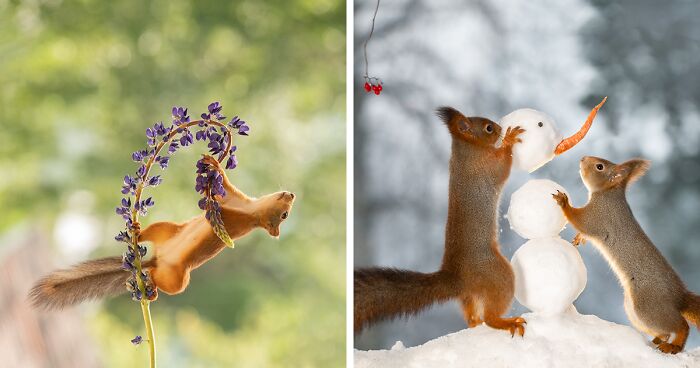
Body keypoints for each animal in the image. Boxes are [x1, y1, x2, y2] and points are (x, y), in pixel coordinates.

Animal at [31, 154, 294, 310]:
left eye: (284, 216)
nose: (291, 194)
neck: (252, 211)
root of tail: (155, 261)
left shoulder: (232, 212)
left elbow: (224, 191)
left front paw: (216, 164)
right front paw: (212, 161)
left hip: (176, 280)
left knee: (160, 282)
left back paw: (149, 291)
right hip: (164, 229)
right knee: (149, 237)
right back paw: (136, 232)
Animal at [356, 106, 524, 336]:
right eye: (488, 128)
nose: (499, 128)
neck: (468, 150)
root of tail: (458, 278)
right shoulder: (486, 167)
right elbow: (503, 166)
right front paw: (509, 139)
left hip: (469, 296)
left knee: (472, 316)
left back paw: (477, 323)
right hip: (498, 275)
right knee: (490, 317)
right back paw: (505, 322)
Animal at [552, 155, 700, 354]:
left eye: (600, 166)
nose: (582, 158)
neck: (609, 193)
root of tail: (679, 298)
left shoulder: (599, 215)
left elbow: (580, 220)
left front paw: (564, 202)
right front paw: (579, 238)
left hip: (648, 306)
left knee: (680, 325)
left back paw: (674, 345)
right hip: (634, 312)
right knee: (665, 331)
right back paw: (657, 340)